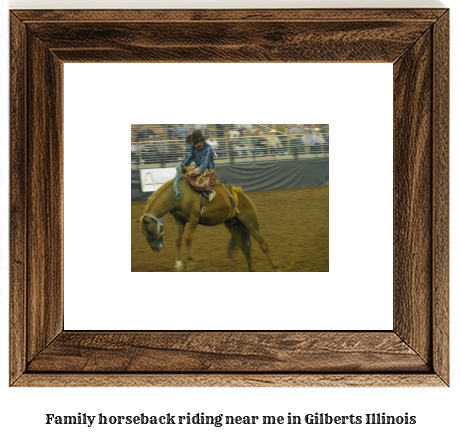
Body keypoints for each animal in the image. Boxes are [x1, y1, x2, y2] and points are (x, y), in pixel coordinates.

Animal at [137, 171, 280, 270]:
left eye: (150, 231)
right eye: (143, 233)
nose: (156, 248)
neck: (178, 194)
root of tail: (240, 194)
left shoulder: (194, 218)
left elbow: (188, 239)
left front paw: (190, 263)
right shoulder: (180, 220)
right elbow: (178, 241)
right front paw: (178, 264)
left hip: (252, 223)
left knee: (263, 245)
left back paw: (275, 266)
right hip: (235, 228)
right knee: (245, 249)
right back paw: (252, 269)